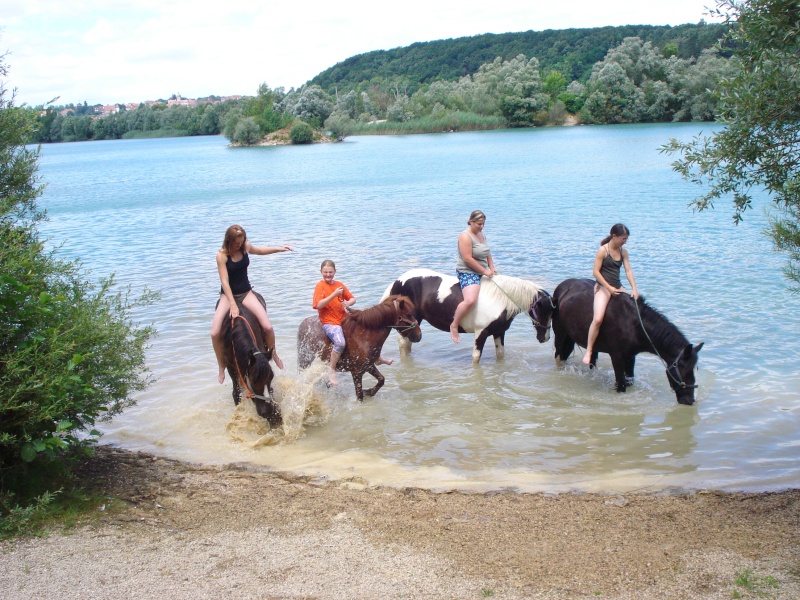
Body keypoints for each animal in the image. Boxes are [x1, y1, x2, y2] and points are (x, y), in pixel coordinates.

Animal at [384, 270, 552, 364]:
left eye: (552, 311)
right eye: (544, 311)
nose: (545, 338)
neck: (500, 299)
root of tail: (398, 280)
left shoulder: (499, 332)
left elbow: (500, 354)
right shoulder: (481, 333)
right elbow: (476, 357)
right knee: (403, 343)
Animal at [552, 278, 704, 406]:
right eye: (686, 371)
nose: (690, 400)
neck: (632, 323)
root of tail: (563, 286)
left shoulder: (631, 356)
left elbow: (629, 380)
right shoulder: (617, 355)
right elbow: (621, 384)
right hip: (561, 335)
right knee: (559, 356)